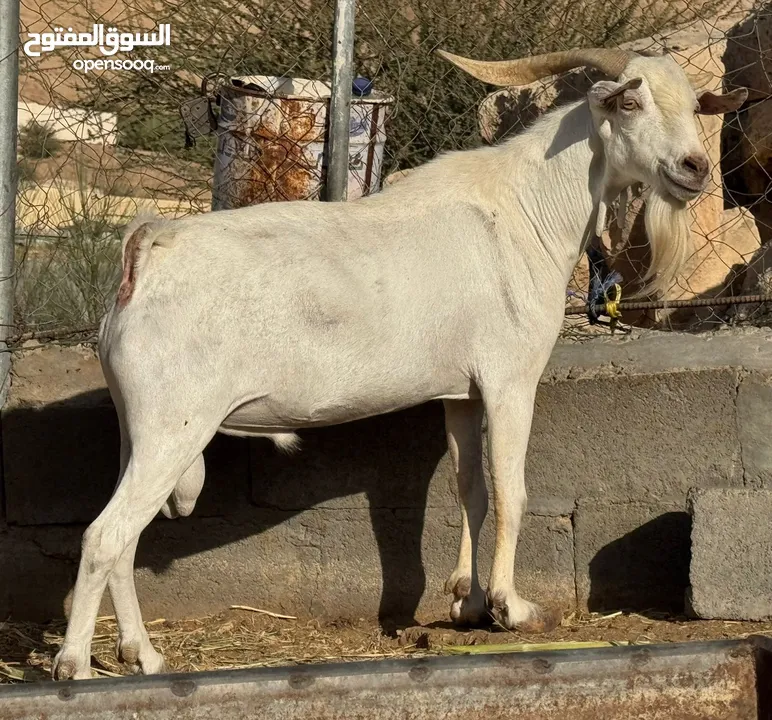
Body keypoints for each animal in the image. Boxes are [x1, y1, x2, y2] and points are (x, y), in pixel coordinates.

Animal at [52, 47, 740, 676]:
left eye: (693, 105)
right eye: (631, 102)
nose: (694, 167)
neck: (527, 212)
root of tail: (148, 248)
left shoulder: (461, 393)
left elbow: (470, 489)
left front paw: (465, 602)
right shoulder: (510, 379)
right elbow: (510, 487)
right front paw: (511, 608)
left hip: (139, 428)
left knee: (125, 539)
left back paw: (142, 655)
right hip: (175, 426)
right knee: (105, 535)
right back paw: (75, 667)